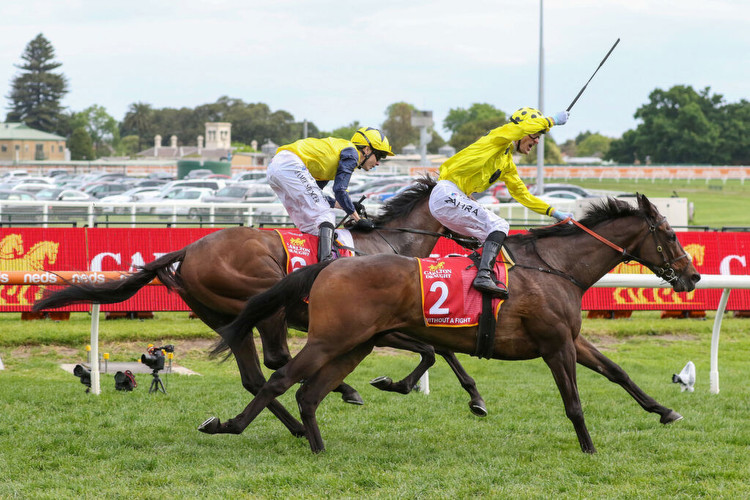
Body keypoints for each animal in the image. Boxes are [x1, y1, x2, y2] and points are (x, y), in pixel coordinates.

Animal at [33, 178, 488, 436]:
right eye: (469, 204)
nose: (482, 237)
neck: (389, 246)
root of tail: (189, 248)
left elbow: (443, 350)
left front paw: (474, 398)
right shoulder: (379, 326)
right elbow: (433, 351)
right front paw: (397, 384)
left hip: (226, 318)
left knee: (255, 376)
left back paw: (296, 426)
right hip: (264, 299)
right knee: (276, 360)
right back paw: (335, 395)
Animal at [207, 194, 704, 454]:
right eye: (671, 234)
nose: (694, 276)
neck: (556, 267)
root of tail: (328, 266)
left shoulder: (570, 340)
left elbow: (617, 372)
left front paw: (665, 410)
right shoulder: (555, 345)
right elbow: (574, 403)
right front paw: (589, 447)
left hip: (356, 344)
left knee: (309, 392)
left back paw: (317, 445)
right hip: (331, 340)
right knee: (281, 379)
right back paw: (229, 425)